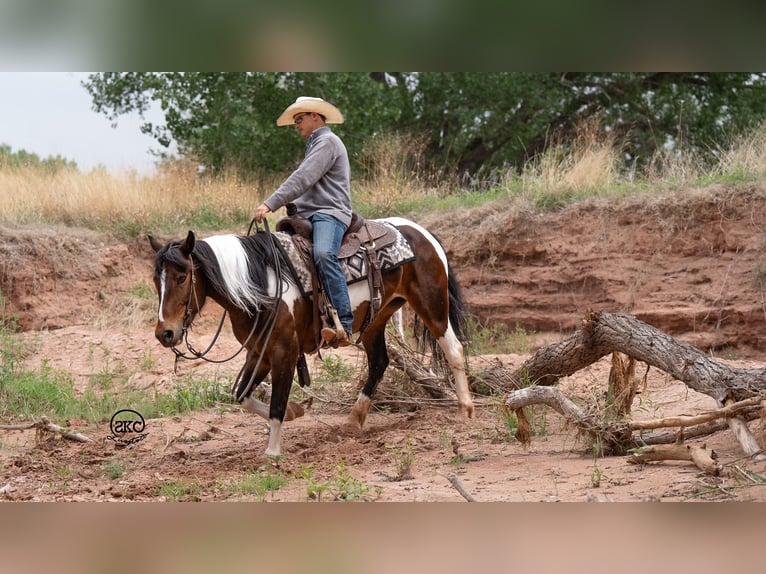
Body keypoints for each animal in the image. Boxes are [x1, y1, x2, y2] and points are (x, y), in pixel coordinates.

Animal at [148, 217, 474, 460]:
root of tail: (422, 231)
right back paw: (353, 420)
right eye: (155, 280)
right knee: (380, 362)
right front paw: (296, 411)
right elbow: (243, 395)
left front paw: (273, 452)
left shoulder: (285, 351)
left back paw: (465, 409)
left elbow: (276, 402)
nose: (165, 333)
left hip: (432, 305)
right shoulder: (259, 351)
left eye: (182, 277)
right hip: (375, 320)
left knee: (454, 350)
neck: (261, 285)